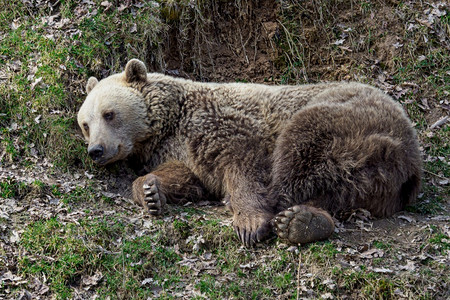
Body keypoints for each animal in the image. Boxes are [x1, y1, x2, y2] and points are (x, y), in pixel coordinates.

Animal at [76, 59, 422, 247]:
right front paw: (149, 191)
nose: (96, 150)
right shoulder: (178, 149)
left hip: (345, 120)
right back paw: (304, 222)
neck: (170, 121)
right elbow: (187, 178)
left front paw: (250, 222)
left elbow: (243, 161)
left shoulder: (223, 125)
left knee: (296, 153)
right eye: (85, 124)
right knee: (335, 193)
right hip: (369, 181)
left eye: (109, 113)